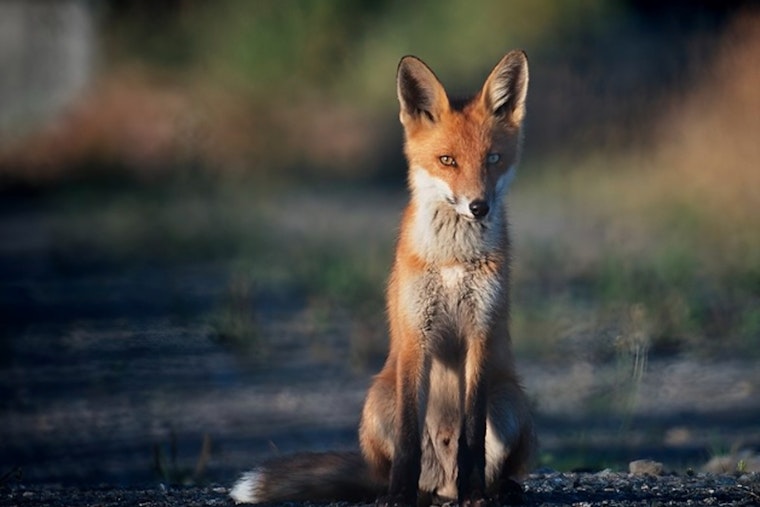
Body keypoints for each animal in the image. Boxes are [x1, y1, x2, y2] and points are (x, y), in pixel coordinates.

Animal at [231, 50, 535, 506]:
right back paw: (407, 491)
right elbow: (409, 438)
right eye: (448, 160)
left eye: (492, 159)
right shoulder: (416, 336)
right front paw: (398, 496)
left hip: (510, 399)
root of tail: (441, 484)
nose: (478, 206)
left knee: (491, 459)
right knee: (403, 468)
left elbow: (473, 435)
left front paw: (476, 493)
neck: (452, 260)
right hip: (378, 400)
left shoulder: (479, 333)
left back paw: (493, 490)